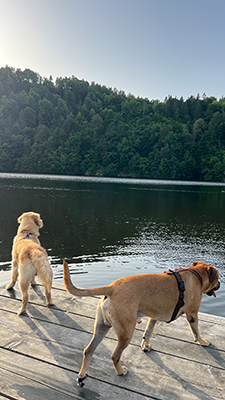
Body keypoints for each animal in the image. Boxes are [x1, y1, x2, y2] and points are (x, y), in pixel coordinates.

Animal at [62, 260, 220, 388]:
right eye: (218, 278)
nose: (219, 284)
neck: (196, 274)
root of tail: (112, 288)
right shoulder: (192, 314)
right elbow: (196, 331)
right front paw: (201, 341)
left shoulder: (153, 317)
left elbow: (148, 333)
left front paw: (145, 346)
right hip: (126, 333)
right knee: (114, 356)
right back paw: (120, 371)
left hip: (101, 328)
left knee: (88, 350)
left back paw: (82, 376)